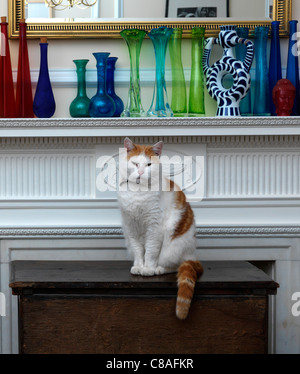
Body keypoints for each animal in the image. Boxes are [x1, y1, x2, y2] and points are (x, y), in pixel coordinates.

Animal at [118, 139, 204, 320]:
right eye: (135, 163)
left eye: (149, 164)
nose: (141, 172)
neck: (138, 193)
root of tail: (192, 254)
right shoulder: (131, 227)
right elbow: (139, 251)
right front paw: (139, 266)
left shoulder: (154, 227)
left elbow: (150, 251)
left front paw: (148, 269)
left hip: (172, 248)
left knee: (175, 265)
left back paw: (159, 269)